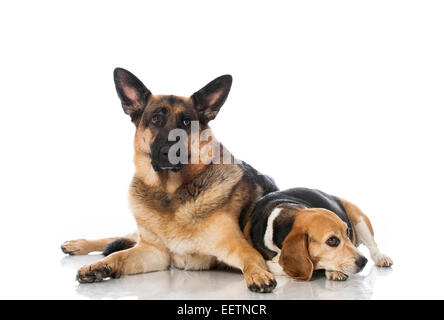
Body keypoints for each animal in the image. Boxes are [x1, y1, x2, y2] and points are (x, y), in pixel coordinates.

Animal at [60, 68, 280, 292]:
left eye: (186, 122)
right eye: (156, 119)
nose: (169, 151)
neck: (170, 193)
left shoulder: (238, 247)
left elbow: (251, 260)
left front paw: (258, 274)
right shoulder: (153, 251)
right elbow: (118, 255)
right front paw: (98, 266)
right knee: (122, 237)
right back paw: (78, 244)